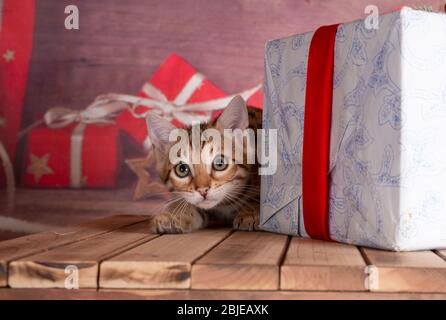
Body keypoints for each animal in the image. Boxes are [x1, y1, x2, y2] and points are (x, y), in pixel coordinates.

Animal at [146, 95, 262, 232]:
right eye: (182, 169)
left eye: (220, 163)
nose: (203, 190)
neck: (224, 205)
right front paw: (174, 216)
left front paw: (250, 213)